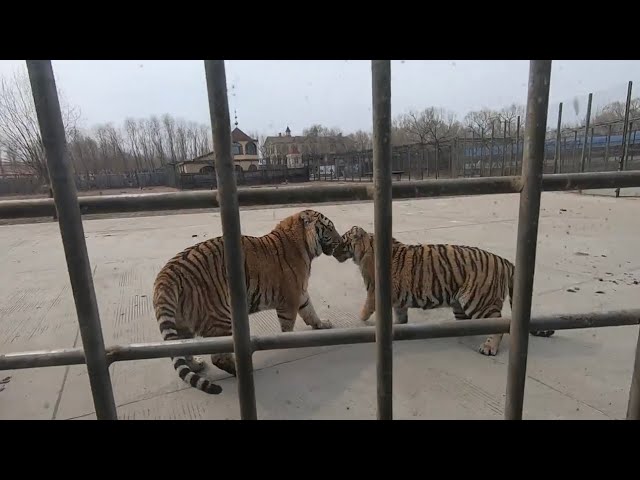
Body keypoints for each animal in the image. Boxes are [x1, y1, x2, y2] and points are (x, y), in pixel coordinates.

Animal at [152, 209, 342, 394]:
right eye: (330, 228)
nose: (340, 241)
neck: (303, 243)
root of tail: (166, 275)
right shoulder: (291, 297)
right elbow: (288, 325)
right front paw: (289, 340)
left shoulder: (301, 294)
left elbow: (310, 312)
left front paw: (322, 324)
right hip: (221, 317)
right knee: (218, 357)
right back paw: (243, 372)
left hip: (183, 324)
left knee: (183, 347)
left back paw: (196, 365)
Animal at [332, 226, 552, 356]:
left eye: (342, 241)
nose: (333, 251)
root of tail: (505, 261)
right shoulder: (398, 298)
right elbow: (400, 316)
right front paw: (397, 328)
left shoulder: (374, 291)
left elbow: (365, 310)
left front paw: (361, 321)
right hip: (461, 303)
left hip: (478, 301)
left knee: (497, 322)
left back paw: (489, 347)